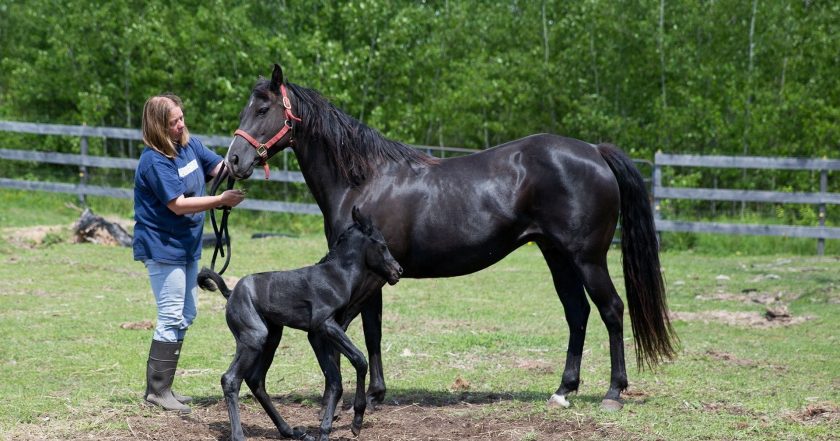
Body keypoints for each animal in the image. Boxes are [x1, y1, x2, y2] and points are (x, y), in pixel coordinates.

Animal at [221, 63, 676, 410]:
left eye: (263, 108)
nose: (234, 161)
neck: (363, 179)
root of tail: (595, 152)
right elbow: (372, 331)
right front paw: (375, 393)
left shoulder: (367, 277)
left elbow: (357, 330)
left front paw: (358, 395)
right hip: (556, 255)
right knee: (577, 313)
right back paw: (563, 390)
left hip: (587, 258)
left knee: (611, 310)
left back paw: (613, 393)